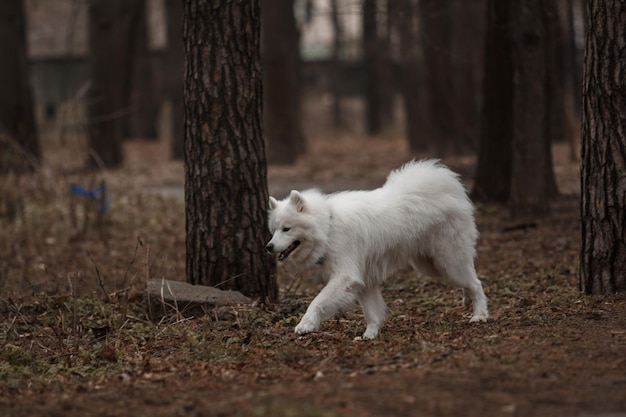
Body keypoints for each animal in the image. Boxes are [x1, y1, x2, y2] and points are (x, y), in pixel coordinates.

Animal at [264, 159, 488, 338]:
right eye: (273, 231)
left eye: (287, 229)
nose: (268, 247)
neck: (328, 227)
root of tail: (448, 187)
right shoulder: (364, 281)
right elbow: (371, 312)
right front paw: (370, 335)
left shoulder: (345, 276)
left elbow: (317, 301)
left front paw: (306, 324)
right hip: (431, 266)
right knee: (468, 281)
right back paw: (467, 300)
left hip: (448, 260)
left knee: (476, 283)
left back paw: (480, 315)